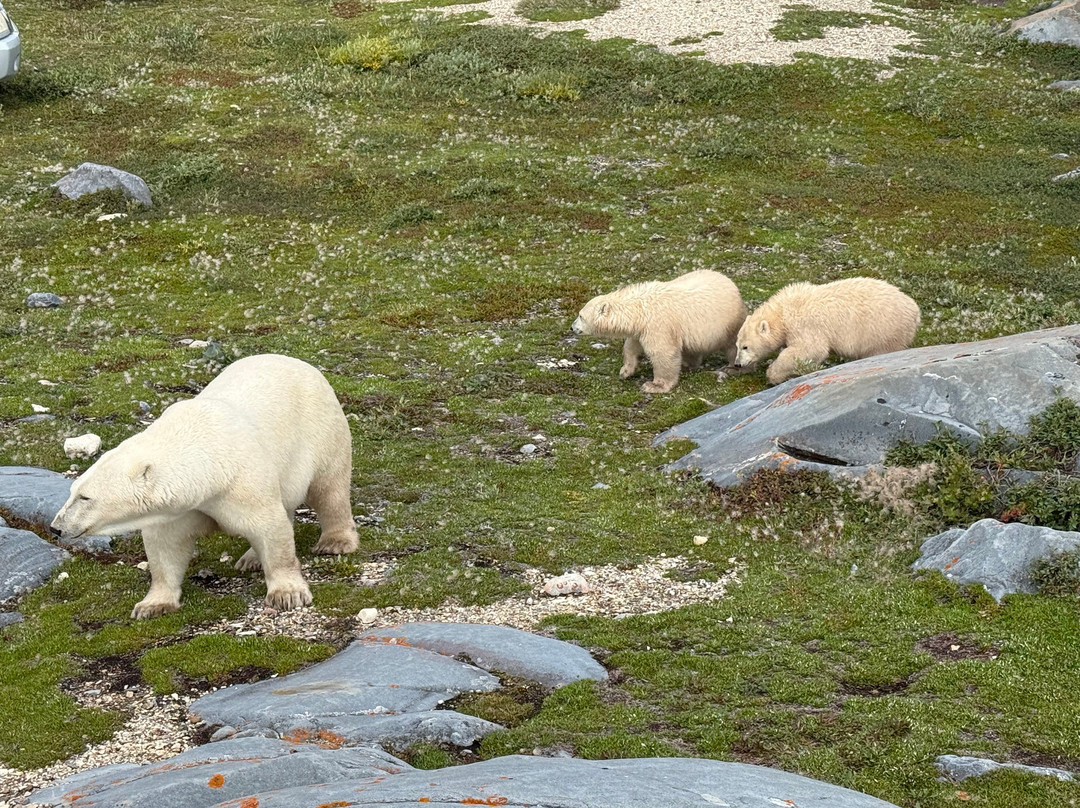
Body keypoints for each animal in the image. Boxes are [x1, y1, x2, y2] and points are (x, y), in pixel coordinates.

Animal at [50, 354, 359, 619]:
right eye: (72, 491)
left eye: (85, 497)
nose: (56, 528)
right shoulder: (178, 508)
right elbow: (165, 545)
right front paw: (152, 605)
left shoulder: (241, 483)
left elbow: (269, 526)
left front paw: (287, 593)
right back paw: (251, 558)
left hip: (321, 431)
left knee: (328, 488)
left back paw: (335, 541)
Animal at [571, 269, 747, 393]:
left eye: (580, 316)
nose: (572, 327)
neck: (639, 308)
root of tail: (732, 284)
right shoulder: (642, 329)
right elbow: (631, 346)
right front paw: (625, 371)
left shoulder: (658, 325)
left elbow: (663, 353)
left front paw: (654, 385)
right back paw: (689, 364)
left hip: (730, 323)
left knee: (734, 346)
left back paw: (733, 368)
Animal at [730, 277, 920, 385]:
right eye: (737, 345)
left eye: (745, 346)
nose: (737, 364)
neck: (782, 312)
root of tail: (915, 310)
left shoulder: (804, 324)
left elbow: (811, 348)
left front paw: (773, 375)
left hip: (883, 331)